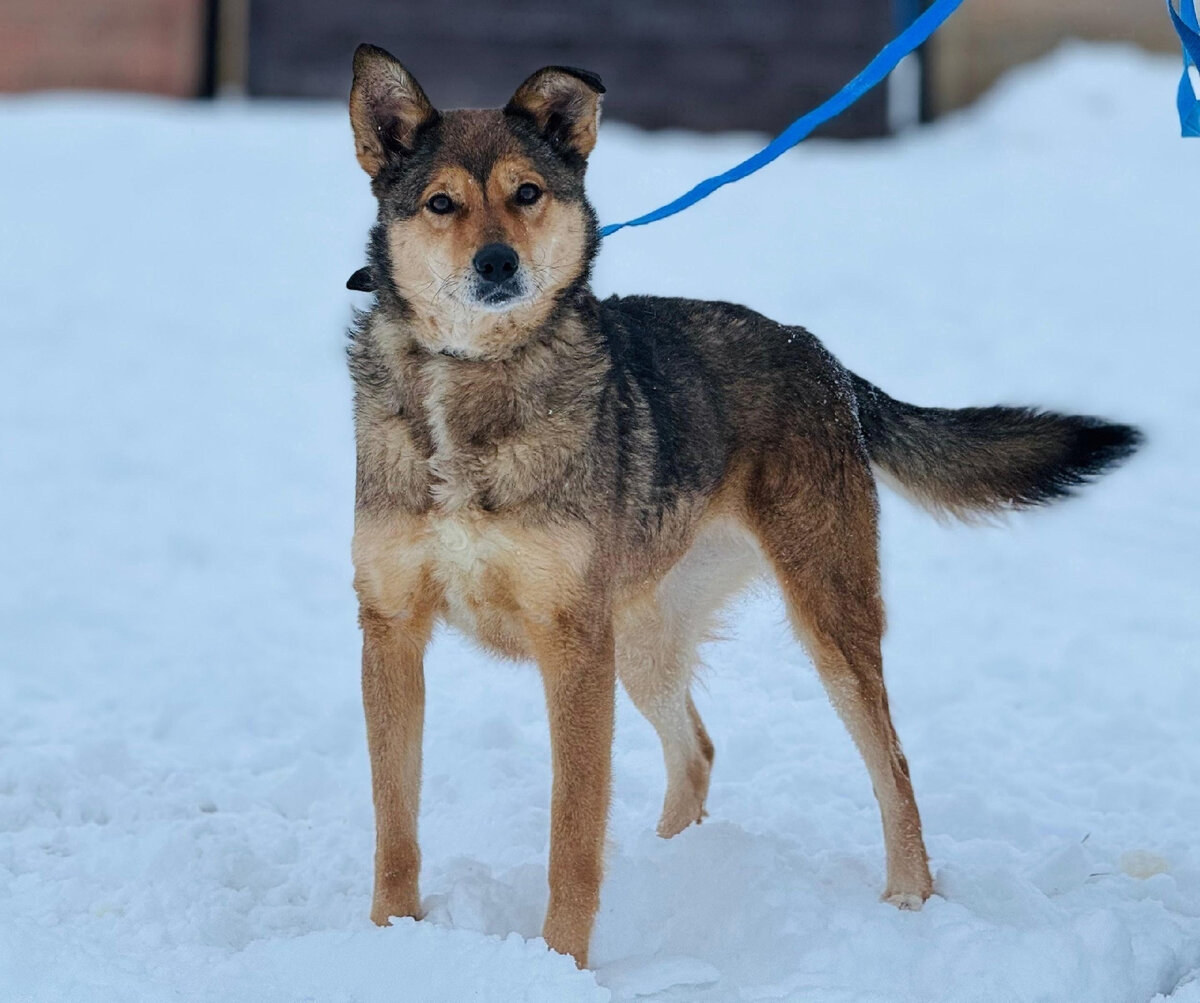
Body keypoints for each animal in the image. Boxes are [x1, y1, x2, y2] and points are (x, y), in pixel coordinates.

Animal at [343, 43, 1137, 969]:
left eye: (527, 193)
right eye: (442, 203)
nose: (498, 263)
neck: (468, 380)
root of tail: (827, 362)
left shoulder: (571, 643)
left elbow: (572, 835)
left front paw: (561, 963)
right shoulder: (392, 628)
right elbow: (394, 823)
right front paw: (386, 939)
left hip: (825, 619)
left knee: (892, 765)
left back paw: (909, 895)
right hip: (642, 641)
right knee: (698, 750)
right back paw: (674, 866)